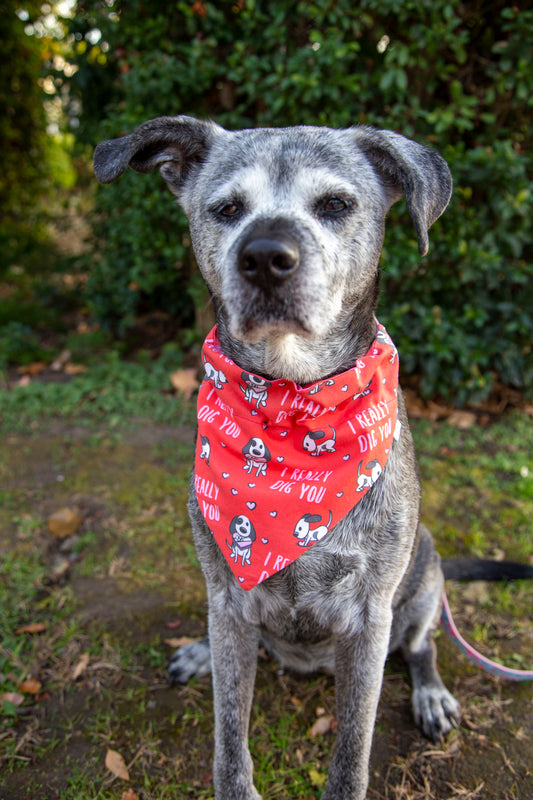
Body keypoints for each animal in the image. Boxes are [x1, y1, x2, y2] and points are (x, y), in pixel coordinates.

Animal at [95, 117, 462, 800]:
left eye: (336, 204)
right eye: (227, 209)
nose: (265, 255)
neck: (292, 406)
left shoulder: (369, 619)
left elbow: (352, 748)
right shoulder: (228, 596)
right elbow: (228, 740)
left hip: (426, 571)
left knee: (422, 646)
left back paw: (430, 695)